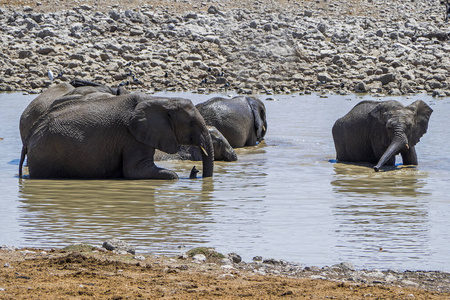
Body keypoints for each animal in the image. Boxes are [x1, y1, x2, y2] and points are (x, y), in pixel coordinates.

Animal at [18, 88, 214, 179]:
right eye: (191, 123)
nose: (195, 171)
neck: (162, 100)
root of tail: (29, 137)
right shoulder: (132, 137)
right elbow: (135, 171)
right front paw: (176, 175)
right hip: (46, 155)